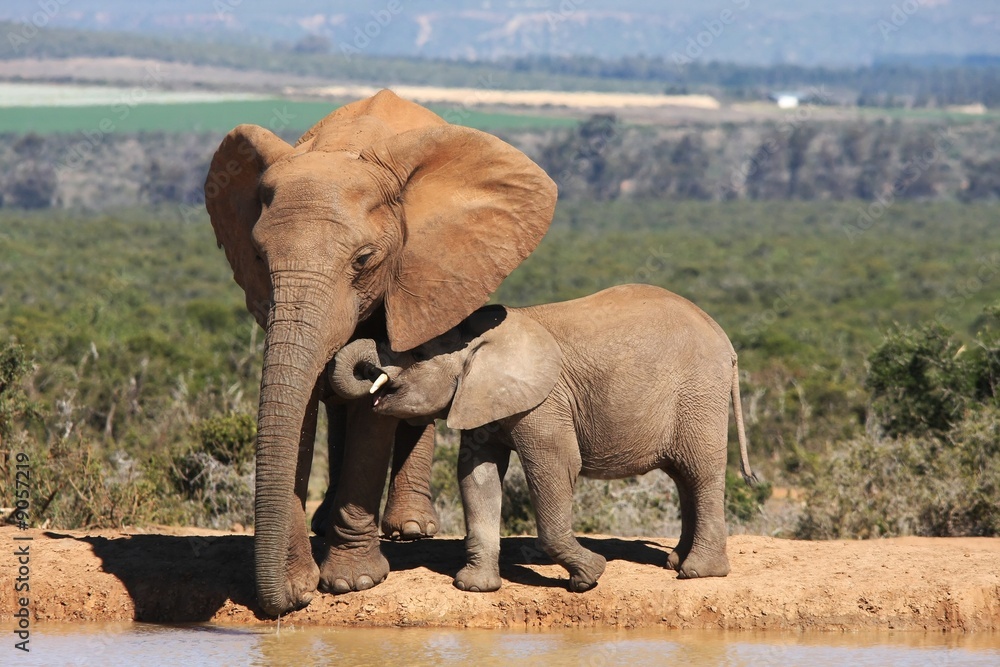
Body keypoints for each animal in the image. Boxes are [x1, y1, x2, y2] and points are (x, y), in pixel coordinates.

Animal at [204, 89, 557, 616]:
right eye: (260, 258)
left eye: (364, 260)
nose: (292, 598)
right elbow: (305, 400)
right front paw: (303, 579)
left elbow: (376, 406)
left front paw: (352, 583)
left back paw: (411, 528)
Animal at [330, 284, 757, 593]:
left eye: (417, 355)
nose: (369, 370)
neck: (481, 334)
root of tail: (727, 342)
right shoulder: (483, 395)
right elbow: (477, 473)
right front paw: (475, 588)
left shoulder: (546, 401)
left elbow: (555, 466)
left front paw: (590, 577)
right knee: (683, 477)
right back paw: (675, 562)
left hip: (699, 392)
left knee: (700, 472)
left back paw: (698, 573)